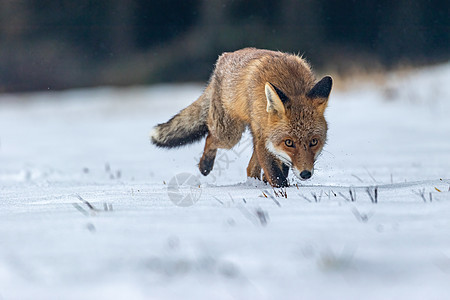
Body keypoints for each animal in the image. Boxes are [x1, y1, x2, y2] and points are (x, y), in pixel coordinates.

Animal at [151, 47, 330, 188]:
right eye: (289, 143)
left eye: (314, 142)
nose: (305, 174)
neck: (292, 86)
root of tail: (223, 60)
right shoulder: (263, 137)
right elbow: (276, 174)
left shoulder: (267, 139)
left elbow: (279, 166)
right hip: (230, 134)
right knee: (210, 136)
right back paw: (205, 165)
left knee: (250, 168)